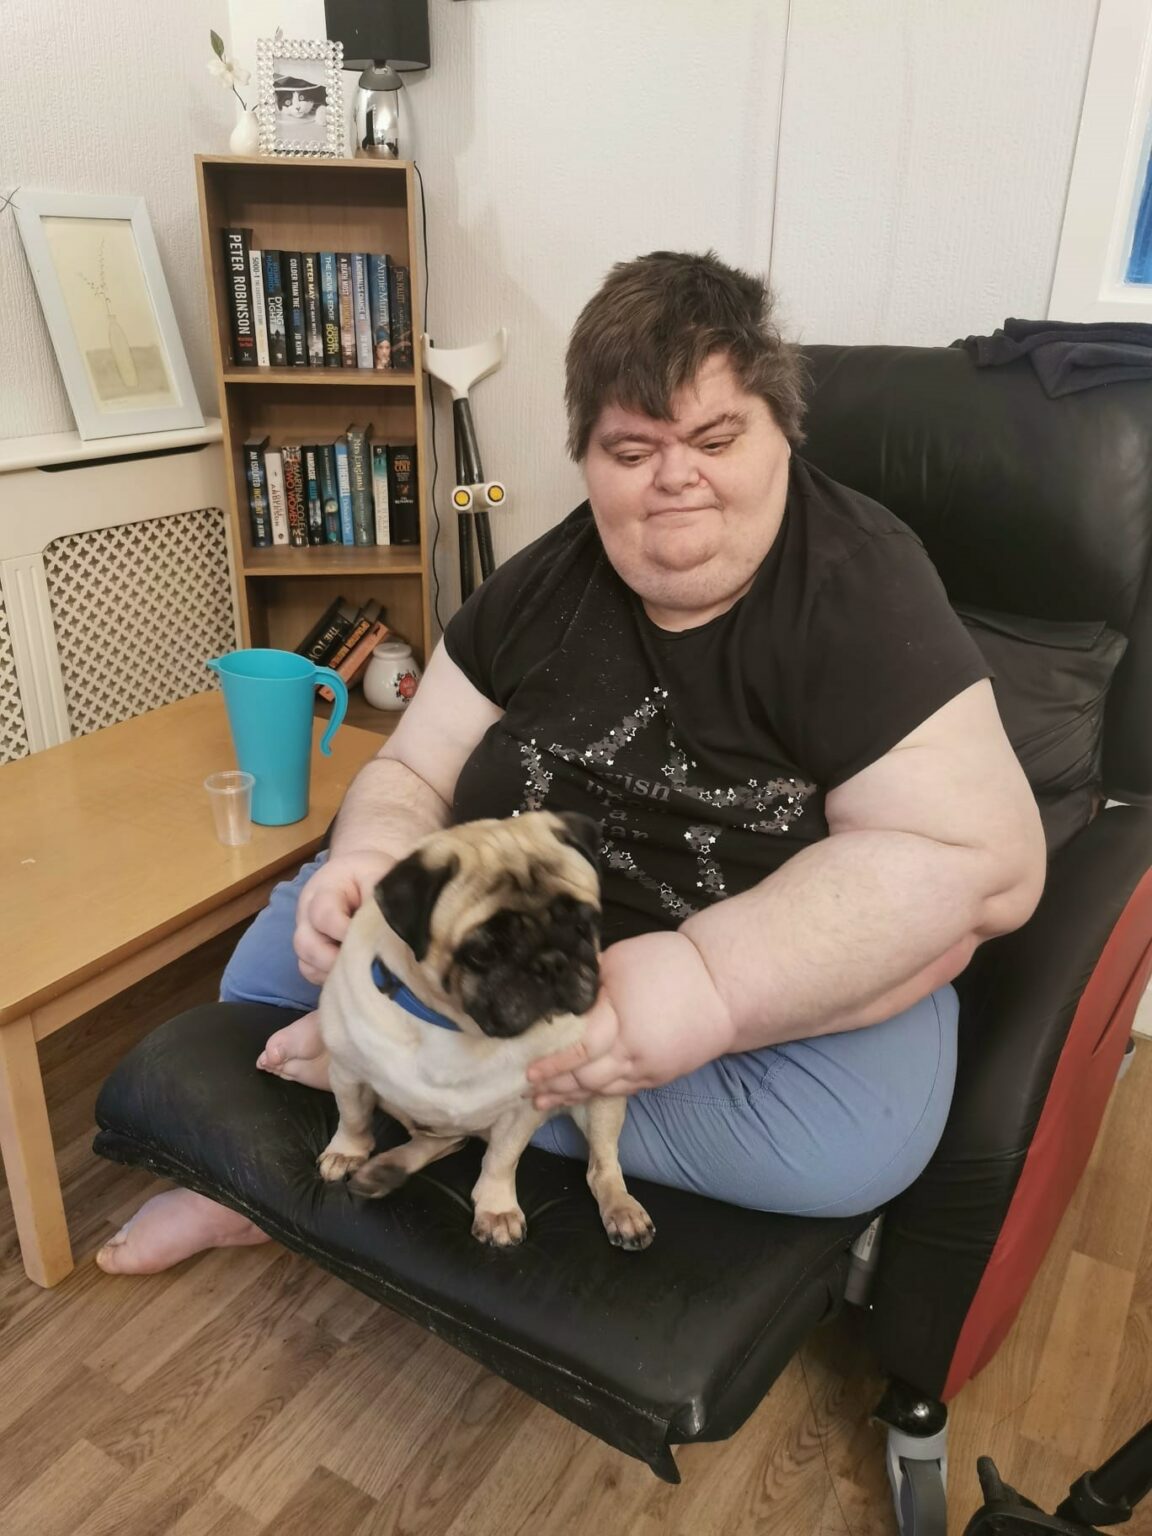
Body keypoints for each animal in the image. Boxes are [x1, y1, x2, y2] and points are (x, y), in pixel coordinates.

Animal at [316, 810, 655, 1251]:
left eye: (585, 926)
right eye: (483, 952)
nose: (552, 962)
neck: (456, 1027)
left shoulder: (522, 1111)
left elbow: (501, 1160)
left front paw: (496, 1209)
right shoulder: (348, 1074)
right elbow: (353, 1119)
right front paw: (347, 1152)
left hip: (602, 1099)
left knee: (602, 1166)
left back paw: (622, 1210)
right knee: (442, 1139)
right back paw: (385, 1169)